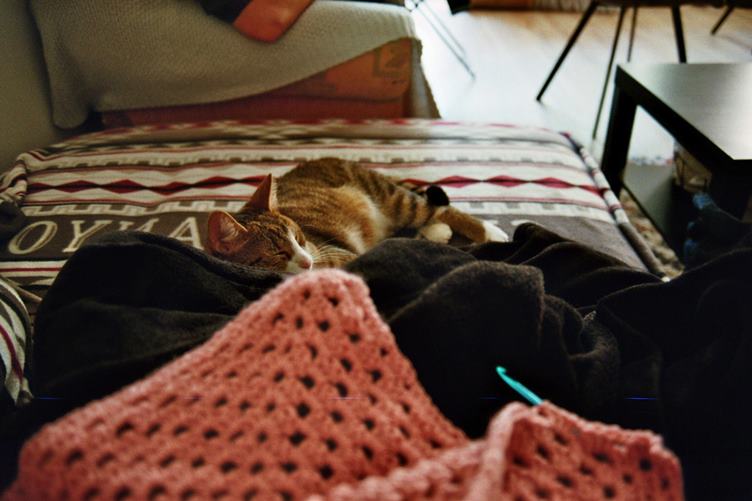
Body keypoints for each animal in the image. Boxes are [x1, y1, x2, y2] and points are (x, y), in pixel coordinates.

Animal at [206, 158, 508, 273]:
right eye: (279, 253)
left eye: (300, 239)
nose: (307, 261)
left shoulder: (340, 254)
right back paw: (437, 231)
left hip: (390, 198)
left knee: (437, 209)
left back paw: (488, 230)